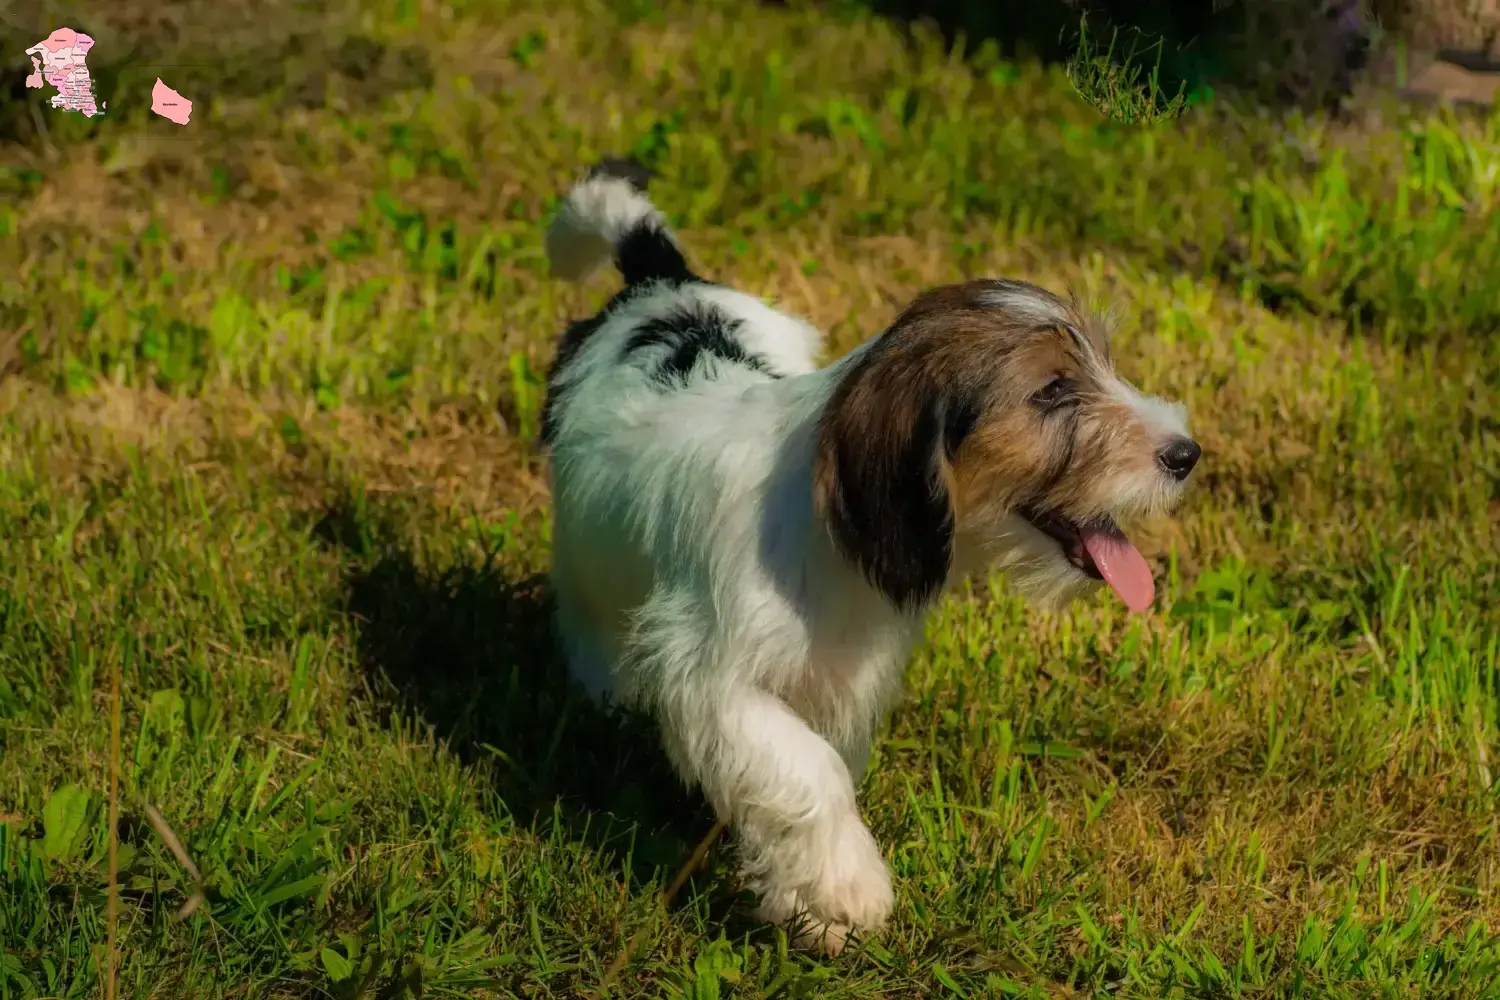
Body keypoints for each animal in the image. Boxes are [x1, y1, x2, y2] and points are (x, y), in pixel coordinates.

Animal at [537, 160, 1194, 959]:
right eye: (1051, 391)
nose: (1185, 453)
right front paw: (845, 891)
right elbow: (806, 769)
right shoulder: (712, 675)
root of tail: (661, 284)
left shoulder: (844, 678)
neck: (825, 533)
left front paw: (808, 892)